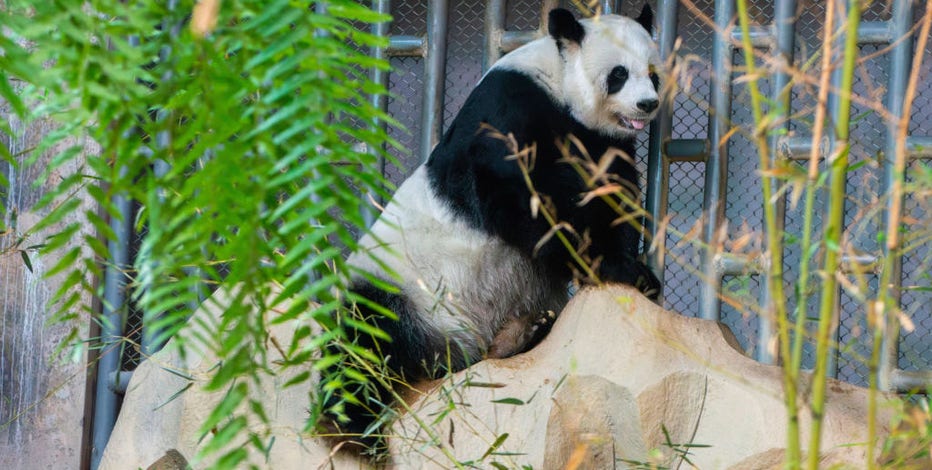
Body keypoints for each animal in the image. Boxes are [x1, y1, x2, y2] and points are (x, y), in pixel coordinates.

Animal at [320, 4, 664, 452]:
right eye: (619, 73)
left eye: (654, 72)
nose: (647, 104)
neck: (557, 82)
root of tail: (453, 351)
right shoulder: (511, 112)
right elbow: (517, 200)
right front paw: (613, 267)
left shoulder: (600, 142)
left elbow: (612, 197)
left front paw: (634, 270)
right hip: (397, 286)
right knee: (364, 345)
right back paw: (351, 424)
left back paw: (526, 333)